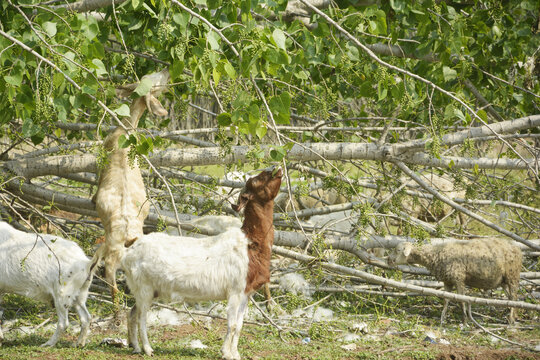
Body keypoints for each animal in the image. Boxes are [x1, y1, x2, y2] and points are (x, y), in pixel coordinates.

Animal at [91, 68, 169, 304]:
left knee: (110, 277)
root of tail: (128, 238)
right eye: (153, 78)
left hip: (111, 253)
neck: (126, 130)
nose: (167, 70)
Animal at [388, 238, 524, 324]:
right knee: (513, 298)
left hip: (512, 275)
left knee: (514, 296)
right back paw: (514, 316)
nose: (388, 260)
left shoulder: (459, 279)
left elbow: (461, 300)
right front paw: (442, 319)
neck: (436, 253)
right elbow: (446, 300)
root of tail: (517, 248)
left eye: (398, 250)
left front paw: (464, 320)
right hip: (503, 280)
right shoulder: (447, 281)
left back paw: (511, 320)